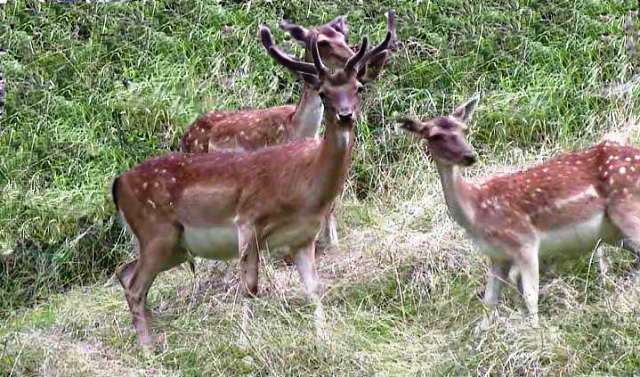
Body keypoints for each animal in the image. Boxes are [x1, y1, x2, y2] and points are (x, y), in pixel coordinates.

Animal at [400, 95, 640, 328]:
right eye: (435, 136)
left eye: (464, 129)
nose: (469, 156)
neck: (477, 213)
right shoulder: (497, 256)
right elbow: (488, 303)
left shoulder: (525, 241)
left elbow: (530, 297)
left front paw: (536, 334)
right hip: (614, 232)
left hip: (627, 208)